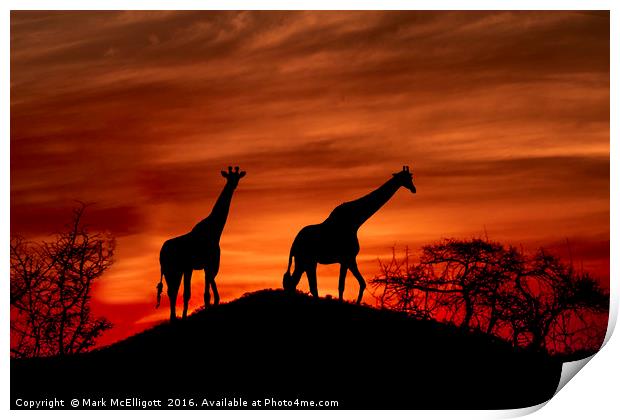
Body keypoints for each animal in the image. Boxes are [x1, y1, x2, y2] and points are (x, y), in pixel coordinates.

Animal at [156, 166, 246, 320]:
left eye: (237, 177)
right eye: (229, 177)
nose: (233, 185)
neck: (215, 230)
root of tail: (161, 253)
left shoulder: (203, 265)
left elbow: (206, 289)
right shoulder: (208, 262)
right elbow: (203, 293)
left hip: (174, 270)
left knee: (172, 291)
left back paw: (174, 318)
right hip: (173, 269)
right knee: (173, 291)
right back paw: (175, 318)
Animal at [284, 167, 414, 306]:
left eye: (411, 177)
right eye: (406, 178)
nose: (414, 189)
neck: (355, 222)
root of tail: (294, 243)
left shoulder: (350, 259)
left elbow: (361, 283)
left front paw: (356, 303)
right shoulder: (347, 258)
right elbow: (342, 286)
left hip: (303, 261)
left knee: (295, 283)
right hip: (307, 260)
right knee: (303, 284)